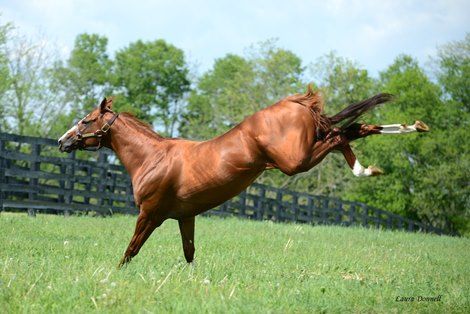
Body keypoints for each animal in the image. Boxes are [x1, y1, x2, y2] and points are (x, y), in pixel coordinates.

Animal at [58, 86, 430, 268]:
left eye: (86, 120)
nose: (63, 141)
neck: (153, 158)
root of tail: (296, 103)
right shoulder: (184, 217)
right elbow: (189, 254)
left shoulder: (150, 214)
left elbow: (130, 250)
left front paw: (114, 274)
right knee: (355, 128)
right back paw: (411, 128)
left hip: (295, 161)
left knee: (342, 136)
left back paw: (367, 167)